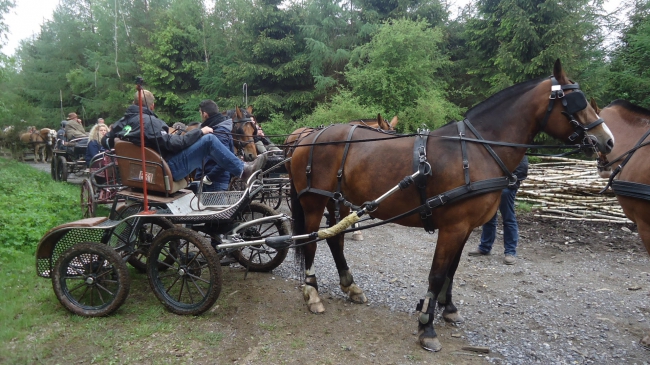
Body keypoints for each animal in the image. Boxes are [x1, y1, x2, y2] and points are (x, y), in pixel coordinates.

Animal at [288, 59, 612, 350]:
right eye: (576, 102)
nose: (607, 141)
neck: (479, 150)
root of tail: (309, 136)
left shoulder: (465, 227)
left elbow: (452, 270)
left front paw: (448, 308)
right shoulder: (453, 226)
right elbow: (437, 273)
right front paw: (426, 327)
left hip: (340, 202)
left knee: (335, 238)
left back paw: (350, 285)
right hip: (314, 202)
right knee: (311, 241)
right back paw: (312, 292)